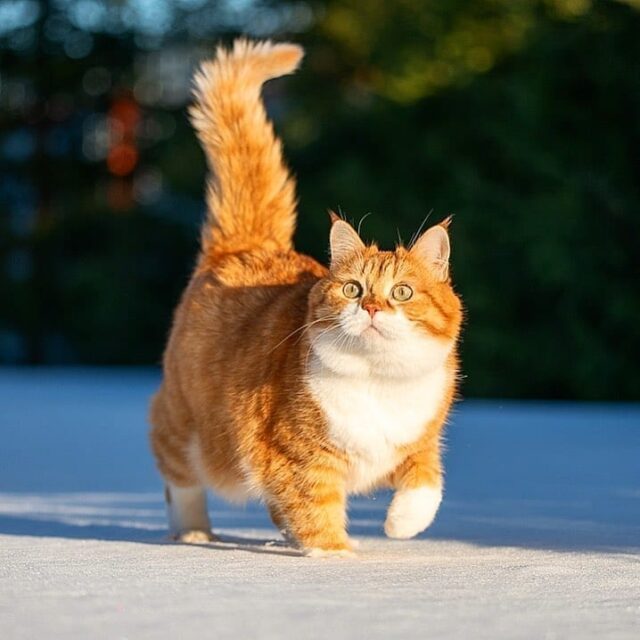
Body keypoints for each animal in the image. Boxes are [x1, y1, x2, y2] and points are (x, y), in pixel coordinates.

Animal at [148, 37, 462, 556]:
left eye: (402, 291)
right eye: (353, 289)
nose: (371, 307)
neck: (378, 382)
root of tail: (250, 244)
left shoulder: (419, 440)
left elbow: (426, 484)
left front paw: (400, 525)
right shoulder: (297, 458)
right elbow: (315, 511)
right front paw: (335, 558)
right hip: (190, 429)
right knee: (180, 478)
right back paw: (194, 532)